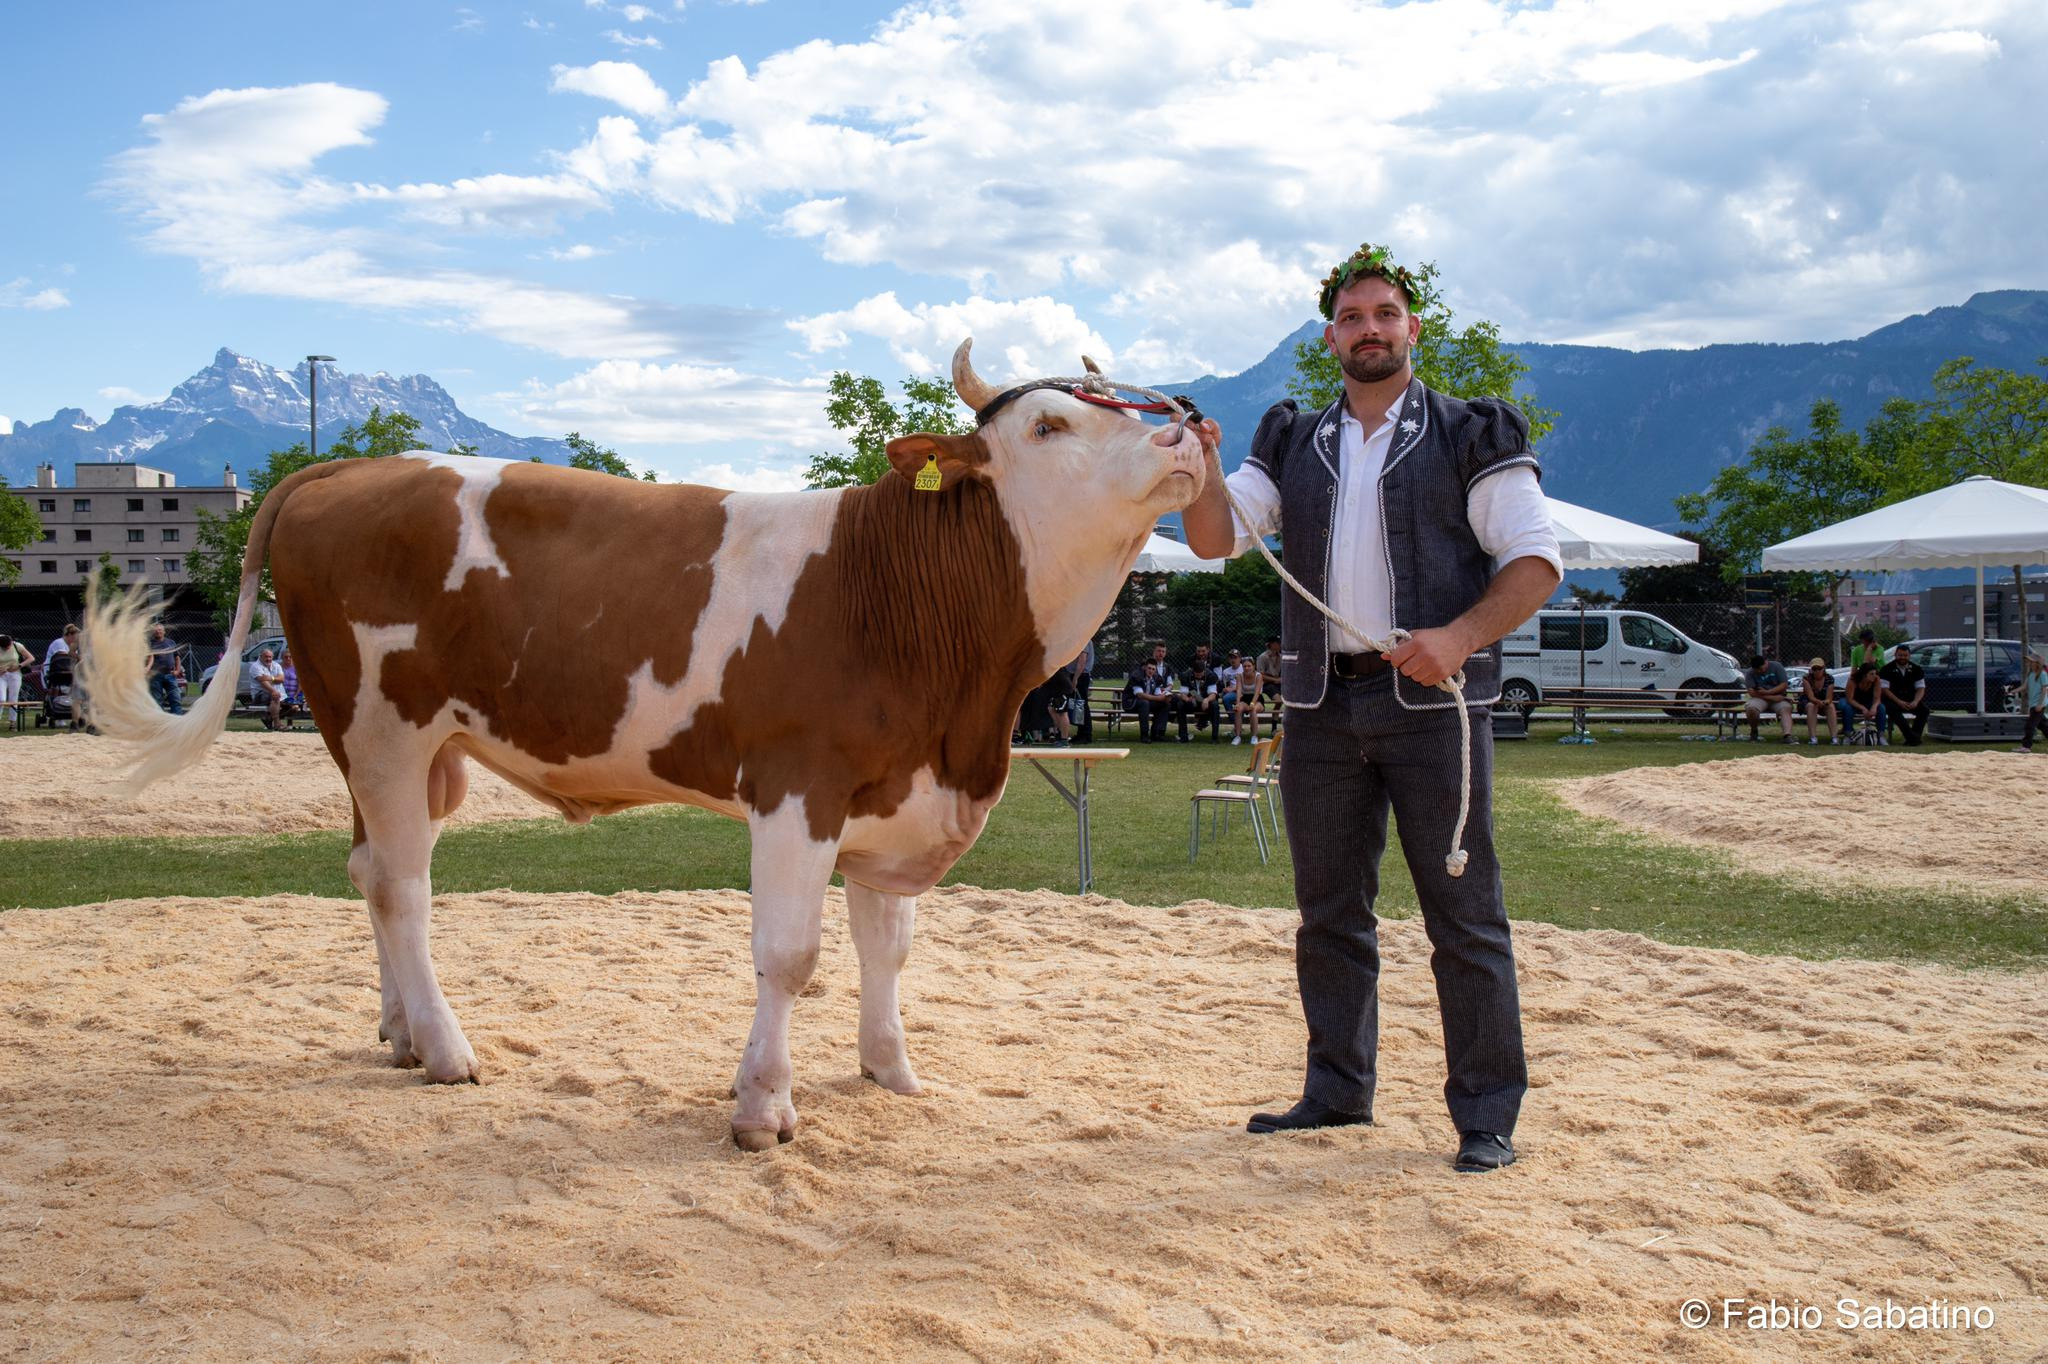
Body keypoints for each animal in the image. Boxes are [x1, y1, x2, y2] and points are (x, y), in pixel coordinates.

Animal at [88, 337, 1204, 1138]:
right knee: (403, 887)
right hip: (382, 728)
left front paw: (889, 1069)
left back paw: (399, 1034)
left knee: (368, 868)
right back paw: (447, 1049)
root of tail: (346, 466)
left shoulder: (896, 792)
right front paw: (762, 1106)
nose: (1189, 428)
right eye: (1051, 423)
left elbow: (885, 946)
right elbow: (789, 954)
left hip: (405, 750)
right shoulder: (797, 785)